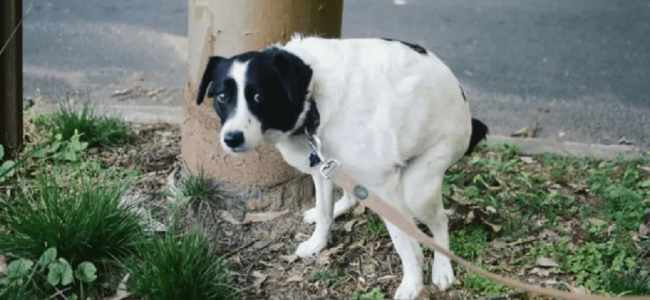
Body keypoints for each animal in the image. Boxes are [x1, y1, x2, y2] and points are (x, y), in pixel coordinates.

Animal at [196, 35, 486, 300]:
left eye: (259, 96)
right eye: (222, 97)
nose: (232, 139)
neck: (313, 100)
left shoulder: (383, 186)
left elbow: (405, 242)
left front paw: (413, 284)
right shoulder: (321, 168)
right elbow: (326, 213)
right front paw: (317, 242)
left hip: (420, 187)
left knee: (440, 221)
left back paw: (443, 268)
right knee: (350, 195)